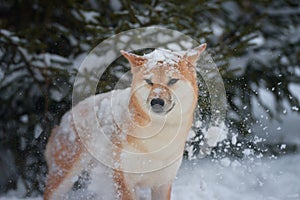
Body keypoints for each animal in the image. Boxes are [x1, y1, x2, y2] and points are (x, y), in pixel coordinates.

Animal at [44, 43, 206, 199]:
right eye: (149, 81)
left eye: (172, 80)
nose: (156, 101)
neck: (157, 142)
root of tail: (65, 117)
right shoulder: (124, 181)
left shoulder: (162, 183)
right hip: (63, 179)